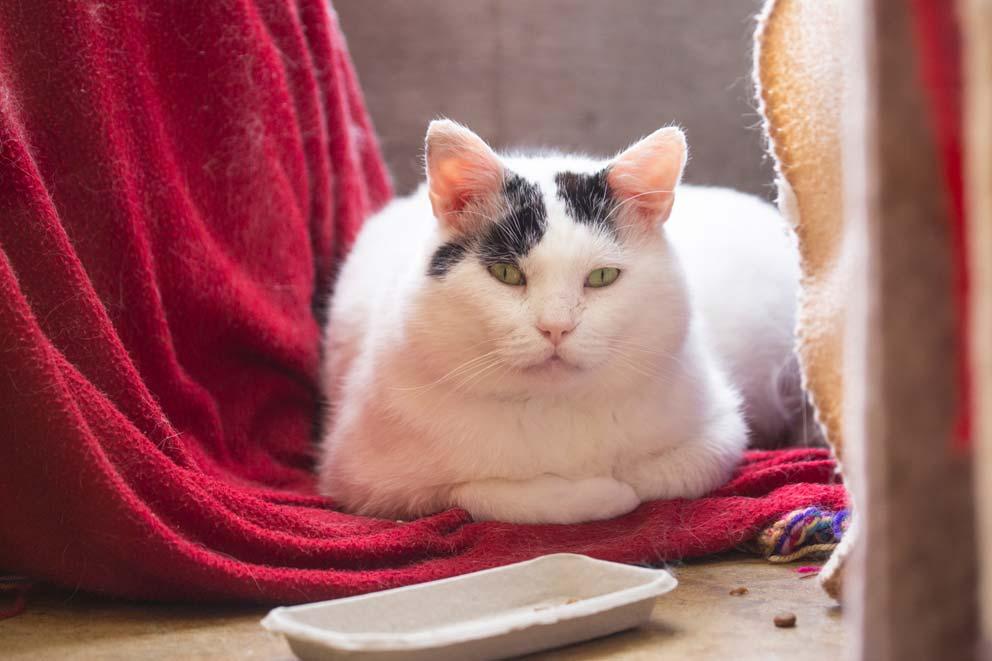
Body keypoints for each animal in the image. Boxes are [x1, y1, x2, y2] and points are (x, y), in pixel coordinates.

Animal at [318, 117, 800, 520]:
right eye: (506, 274)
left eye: (602, 277)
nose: (555, 327)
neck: (550, 410)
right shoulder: (365, 478)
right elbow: (483, 493)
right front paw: (593, 493)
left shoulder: (719, 433)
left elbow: (654, 477)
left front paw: (611, 484)